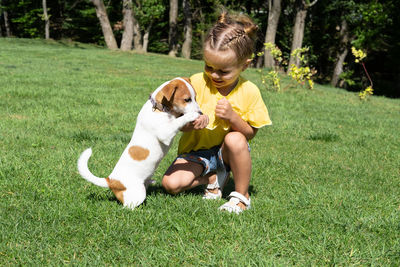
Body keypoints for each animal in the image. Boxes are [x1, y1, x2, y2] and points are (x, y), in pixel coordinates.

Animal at [77, 78, 202, 210]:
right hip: (138, 194)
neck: (159, 109)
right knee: (127, 207)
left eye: (195, 98)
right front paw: (192, 115)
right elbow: (178, 121)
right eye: (187, 99)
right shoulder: (165, 133)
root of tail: (111, 180)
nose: (200, 112)